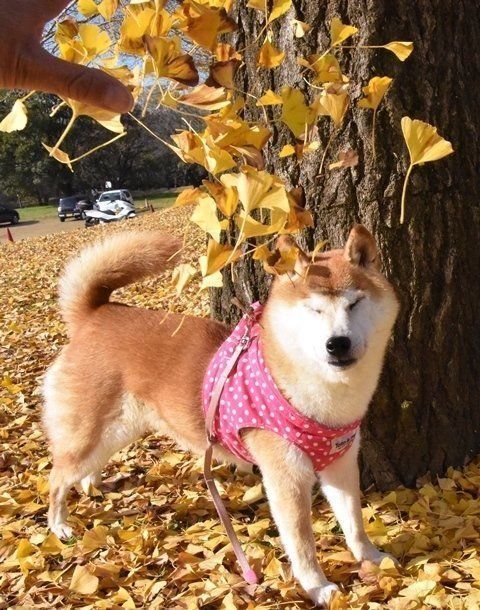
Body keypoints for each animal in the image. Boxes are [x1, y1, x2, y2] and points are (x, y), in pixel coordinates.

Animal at [43, 225, 399, 607]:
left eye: (354, 303)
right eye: (313, 310)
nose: (338, 343)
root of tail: (94, 315)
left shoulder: (341, 464)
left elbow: (354, 522)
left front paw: (371, 557)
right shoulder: (286, 478)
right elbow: (302, 544)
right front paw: (317, 586)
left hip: (117, 432)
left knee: (85, 468)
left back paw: (91, 486)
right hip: (88, 433)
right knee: (58, 477)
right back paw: (59, 524)